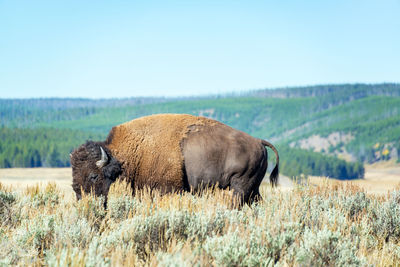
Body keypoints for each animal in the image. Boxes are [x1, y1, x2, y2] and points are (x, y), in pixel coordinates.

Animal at [71, 114, 278, 206]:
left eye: (93, 176)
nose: (81, 200)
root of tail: (258, 141)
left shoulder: (166, 189)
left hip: (240, 186)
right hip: (253, 188)